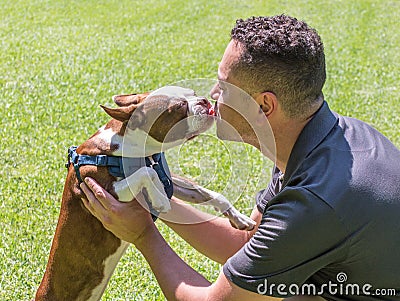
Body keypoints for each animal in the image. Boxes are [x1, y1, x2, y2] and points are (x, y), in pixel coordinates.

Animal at [33, 85, 253, 298]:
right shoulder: (101, 188)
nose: (204, 101)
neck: (130, 145)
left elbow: (208, 193)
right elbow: (146, 173)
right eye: (178, 107)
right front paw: (160, 199)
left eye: (193, 93)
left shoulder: (169, 179)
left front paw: (239, 218)